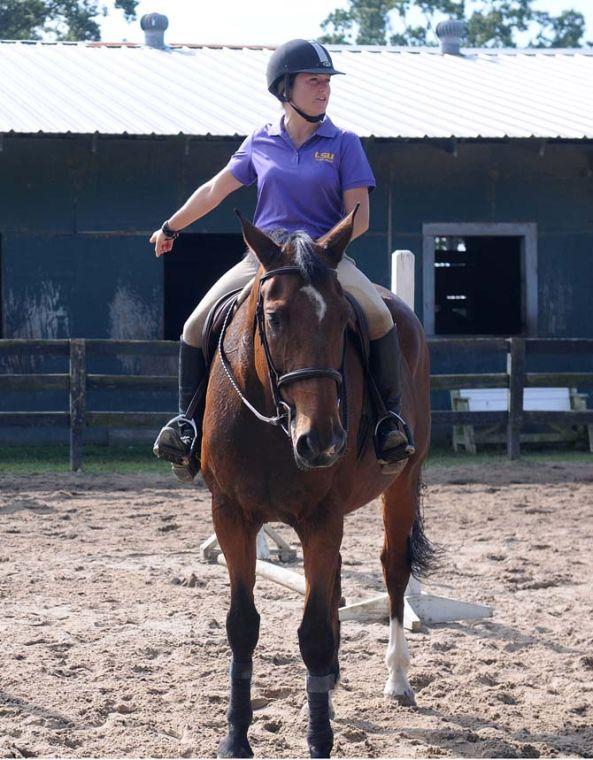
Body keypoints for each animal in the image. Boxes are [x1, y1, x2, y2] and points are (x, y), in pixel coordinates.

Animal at [199, 205, 430, 756]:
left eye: (344, 322)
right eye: (275, 317)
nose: (321, 441)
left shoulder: (321, 519)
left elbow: (314, 634)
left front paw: (319, 738)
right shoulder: (231, 515)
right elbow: (243, 626)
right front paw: (235, 737)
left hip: (403, 483)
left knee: (394, 570)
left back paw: (397, 678)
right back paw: (334, 676)